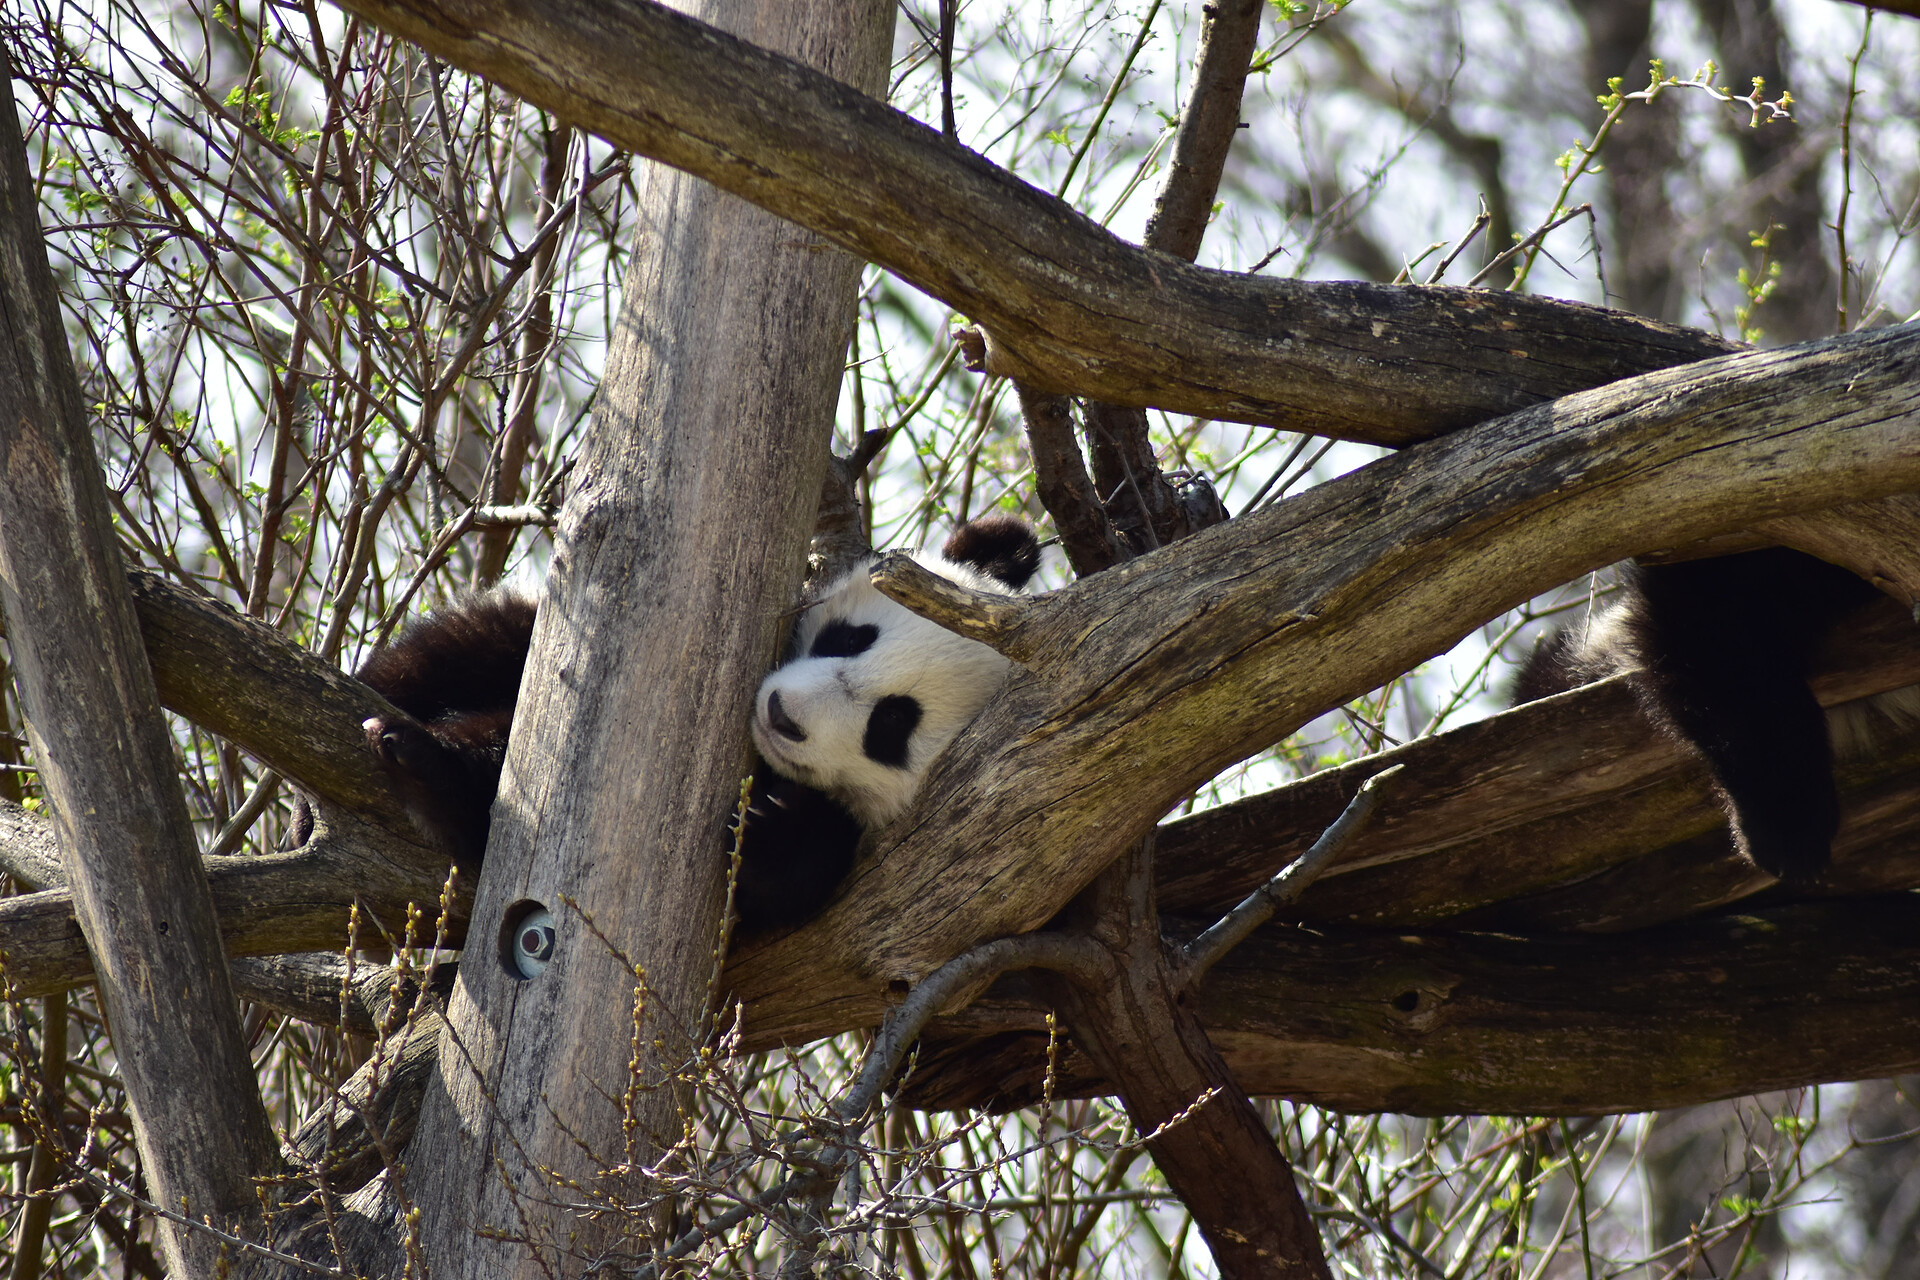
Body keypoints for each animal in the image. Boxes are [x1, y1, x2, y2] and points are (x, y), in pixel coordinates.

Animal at [345, 514, 1036, 924]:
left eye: (891, 726)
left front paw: (762, 827)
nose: (783, 717)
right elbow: (490, 642)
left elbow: (797, 874)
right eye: (850, 637)